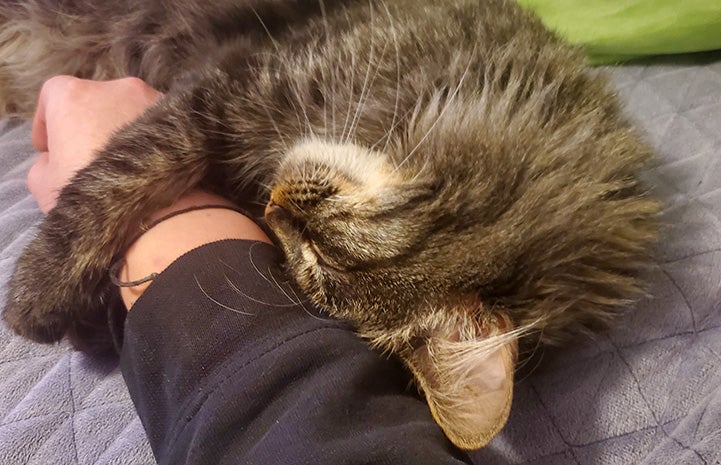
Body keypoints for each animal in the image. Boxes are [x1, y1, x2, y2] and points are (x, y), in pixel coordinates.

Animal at [0, 0, 660, 450]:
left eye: (312, 256)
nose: (274, 206)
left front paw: (76, 319)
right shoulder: (229, 88)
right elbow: (122, 175)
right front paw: (36, 296)